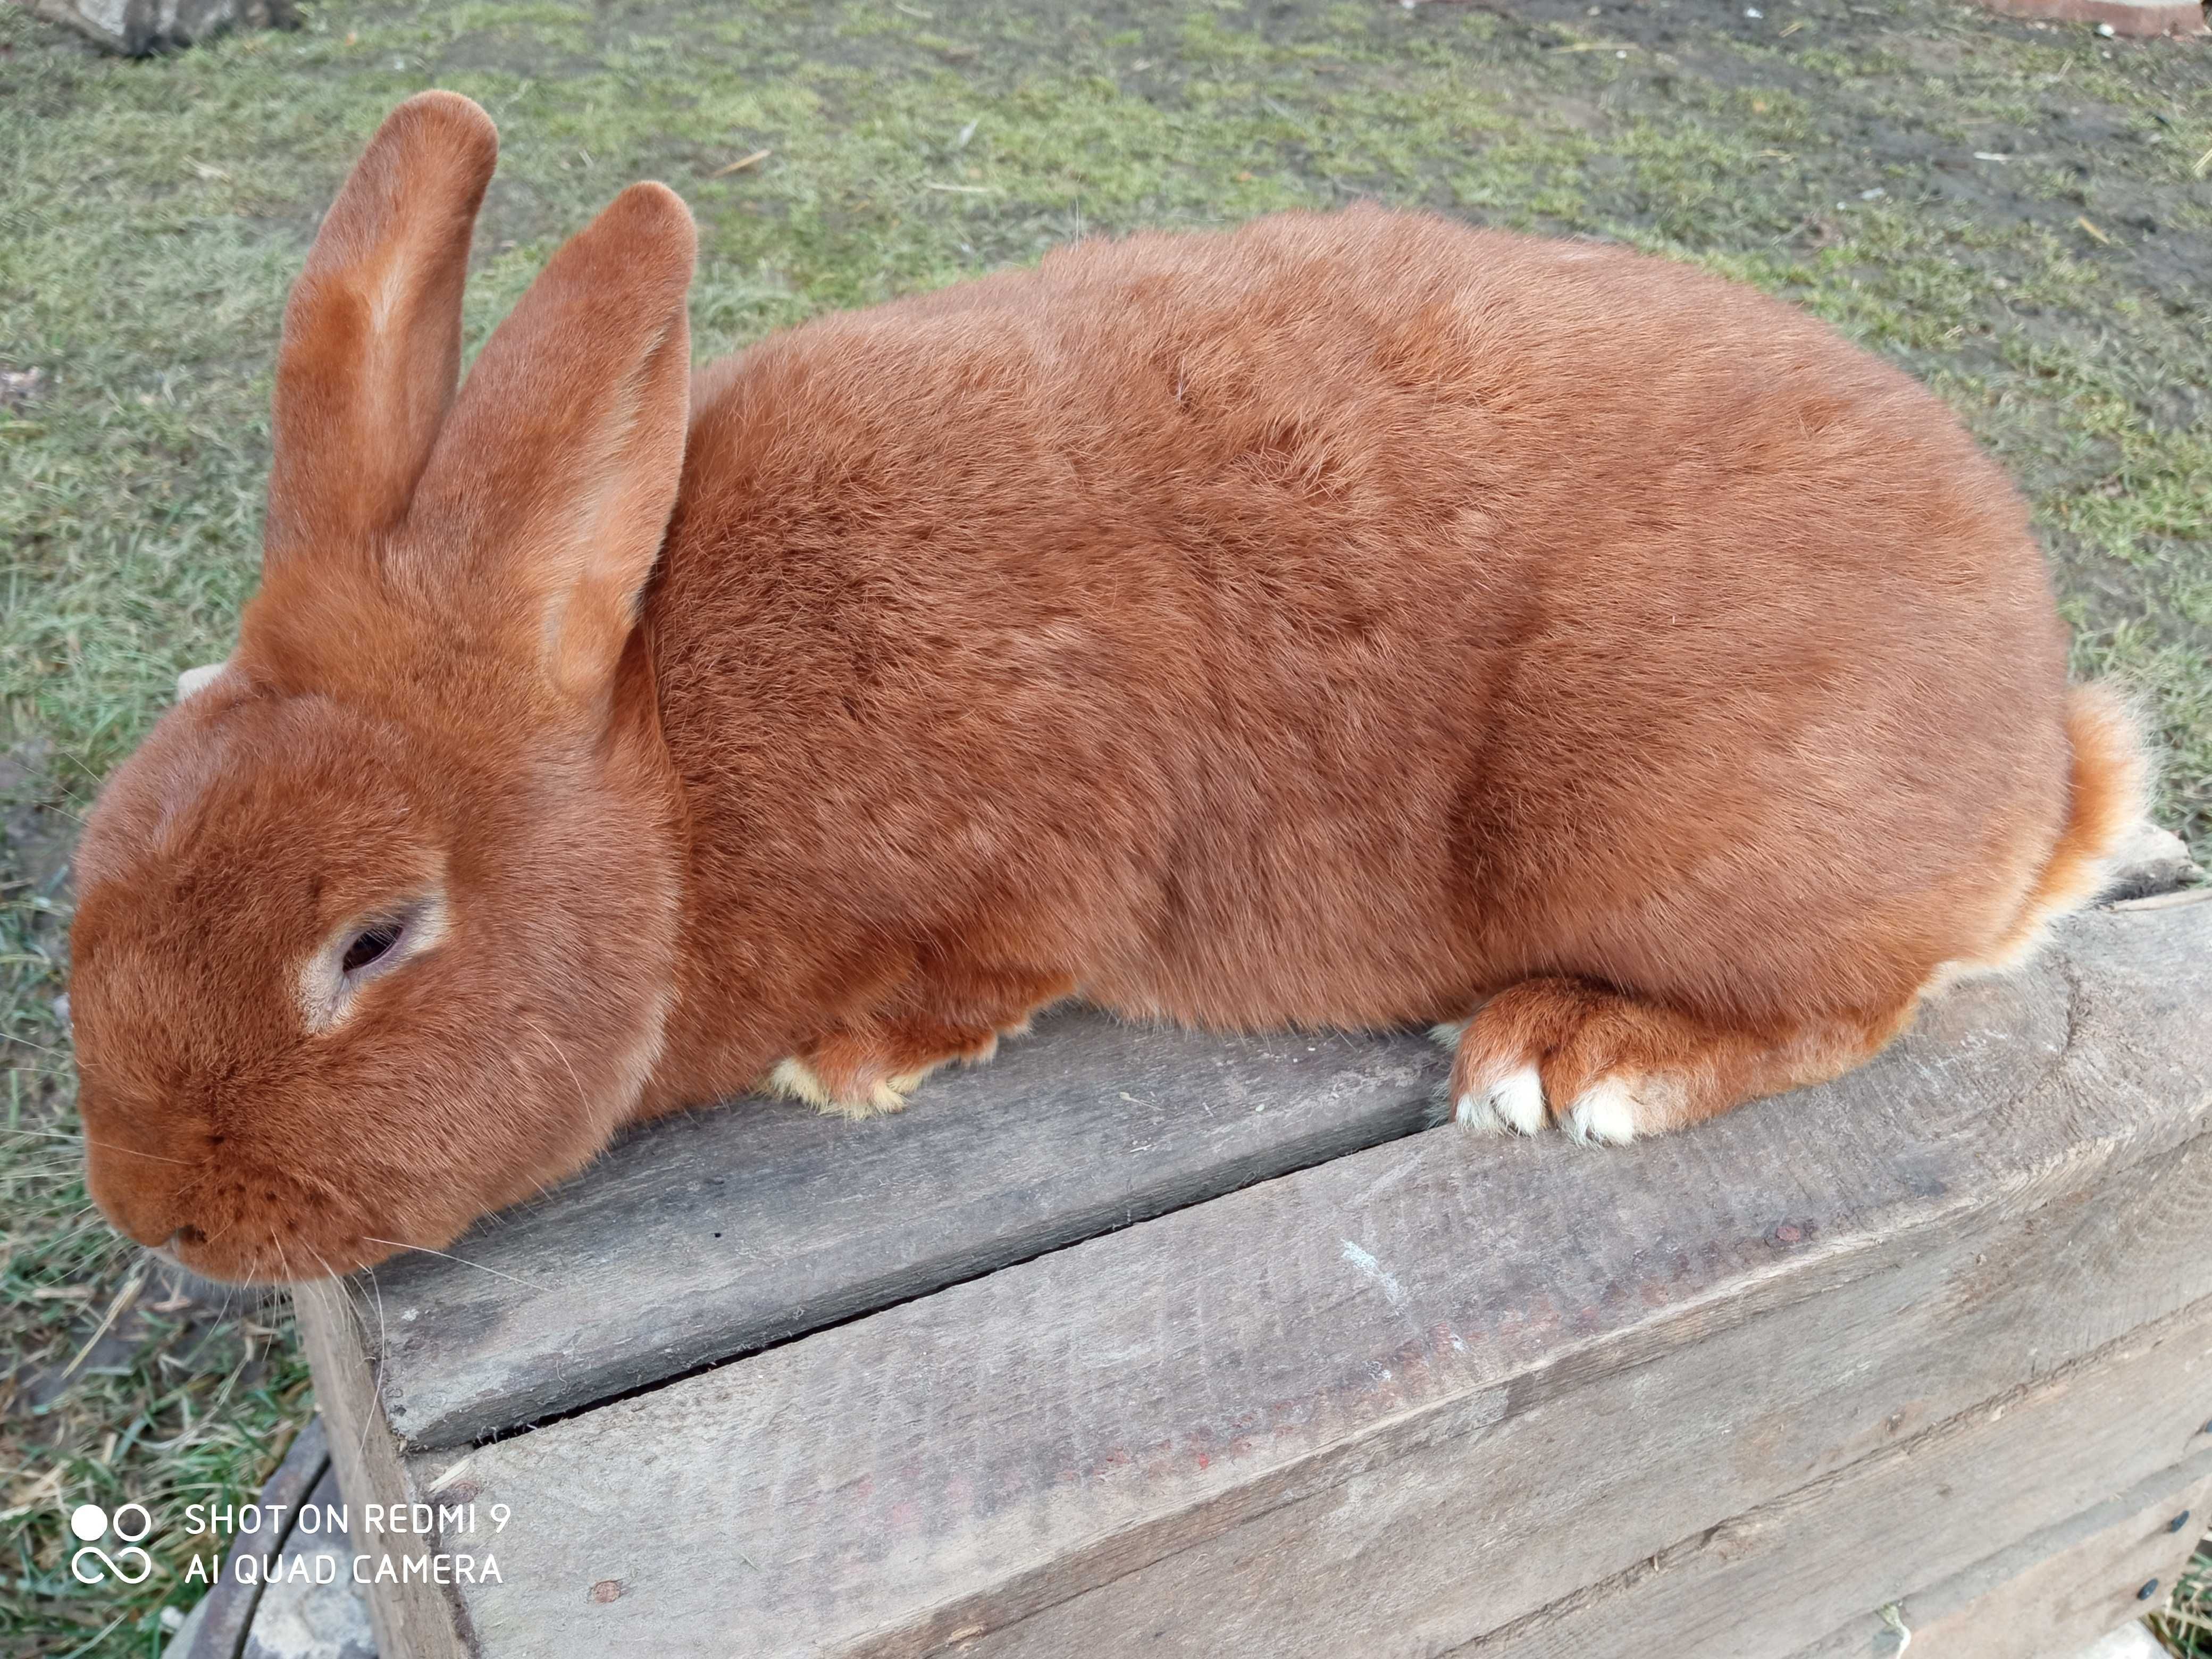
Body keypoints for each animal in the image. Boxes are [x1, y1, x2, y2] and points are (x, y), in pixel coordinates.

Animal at [69, 94, 2141, 1283]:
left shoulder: (1034, 839)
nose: (152, 1211)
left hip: (1676, 824)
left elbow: (996, 963)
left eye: (373, 939)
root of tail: (2051, 762)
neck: (663, 769)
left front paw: (853, 1070)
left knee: (1851, 1001)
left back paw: (1578, 1066)